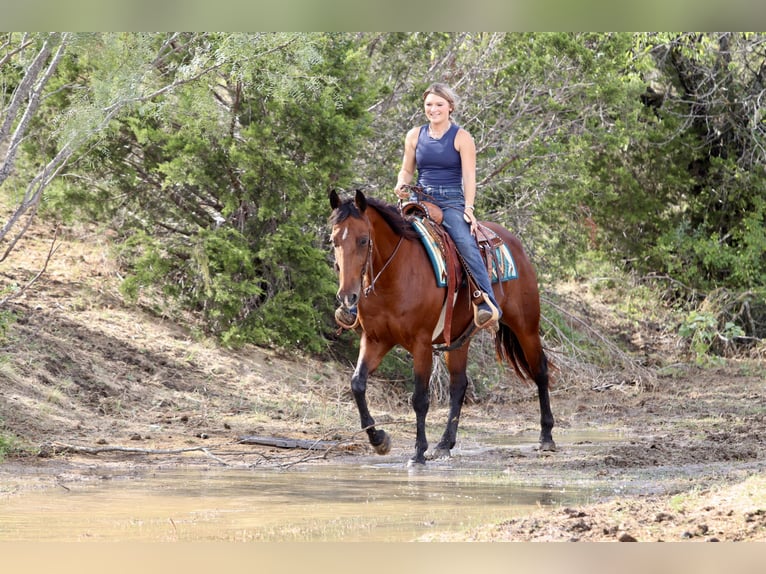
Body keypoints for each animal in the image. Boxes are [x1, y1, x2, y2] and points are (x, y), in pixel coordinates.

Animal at [329, 189, 555, 465]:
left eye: (363, 240)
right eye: (334, 241)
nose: (347, 296)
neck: (396, 274)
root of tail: (511, 240)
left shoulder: (422, 343)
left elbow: (420, 398)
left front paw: (418, 452)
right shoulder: (375, 340)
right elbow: (357, 384)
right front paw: (379, 440)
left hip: (526, 326)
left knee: (540, 370)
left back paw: (546, 437)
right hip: (458, 338)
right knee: (459, 385)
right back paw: (445, 444)